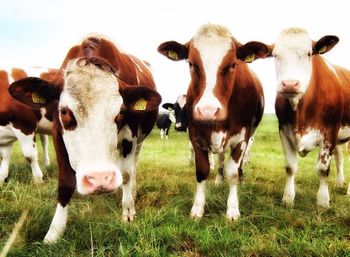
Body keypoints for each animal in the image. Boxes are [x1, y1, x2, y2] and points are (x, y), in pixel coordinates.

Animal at [8, 34, 161, 242]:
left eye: (121, 112)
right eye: (64, 111)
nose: (100, 179)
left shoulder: (130, 135)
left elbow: (126, 174)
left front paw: (128, 210)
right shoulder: (57, 133)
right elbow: (65, 183)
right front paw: (54, 232)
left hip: (139, 141)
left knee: (133, 165)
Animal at [158, 24, 268, 219]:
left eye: (232, 64)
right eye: (191, 64)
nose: (208, 110)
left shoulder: (241, 137)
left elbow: (232, 173)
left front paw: (232, 209)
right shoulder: (196, 135)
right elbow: (202, 170)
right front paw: (197, 208)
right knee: (221, 158)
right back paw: (218, 178)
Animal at [260, 28, 350, 207]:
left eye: (309, 53)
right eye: (275, 55)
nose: (290, 84)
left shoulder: (330, 132)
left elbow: (322, 169)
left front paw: (322, 202)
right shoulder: (284, 130)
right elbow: (290, 167)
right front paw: (288, 198)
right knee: (339, 158)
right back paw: (339, 183)